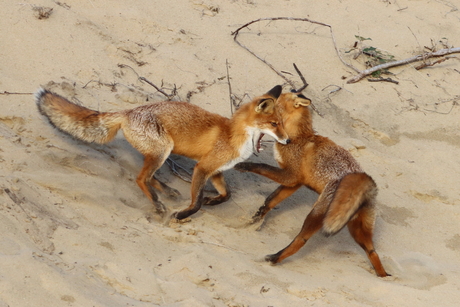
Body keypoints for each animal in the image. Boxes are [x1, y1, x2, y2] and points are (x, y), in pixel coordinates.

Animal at [36, 85, 290, 221]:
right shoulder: (202, 167)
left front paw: (212, 200)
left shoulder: (216, 170)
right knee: (141, 178)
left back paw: (166, 191)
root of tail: (128, 112)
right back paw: (158, 204)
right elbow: (196, 202)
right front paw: (183, 215)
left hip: (159, 153)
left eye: (282, 123)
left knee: (149, 177)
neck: (232, 135)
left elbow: (227, 194)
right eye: (274, 124)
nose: (287, 140)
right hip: (163, 149)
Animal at [235, 90, 390, 278]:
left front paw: (243, 166)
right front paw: (255, 219)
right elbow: (270, 201)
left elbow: (261, 167)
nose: (260, 101)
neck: (297, 137)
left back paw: (275, 258)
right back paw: (384, 277)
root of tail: (367, 186)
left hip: (317, 215)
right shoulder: (295, 182)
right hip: (358, 230)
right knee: (373, 252)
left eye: (276, 99)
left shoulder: (290, 176)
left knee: (301, 239)